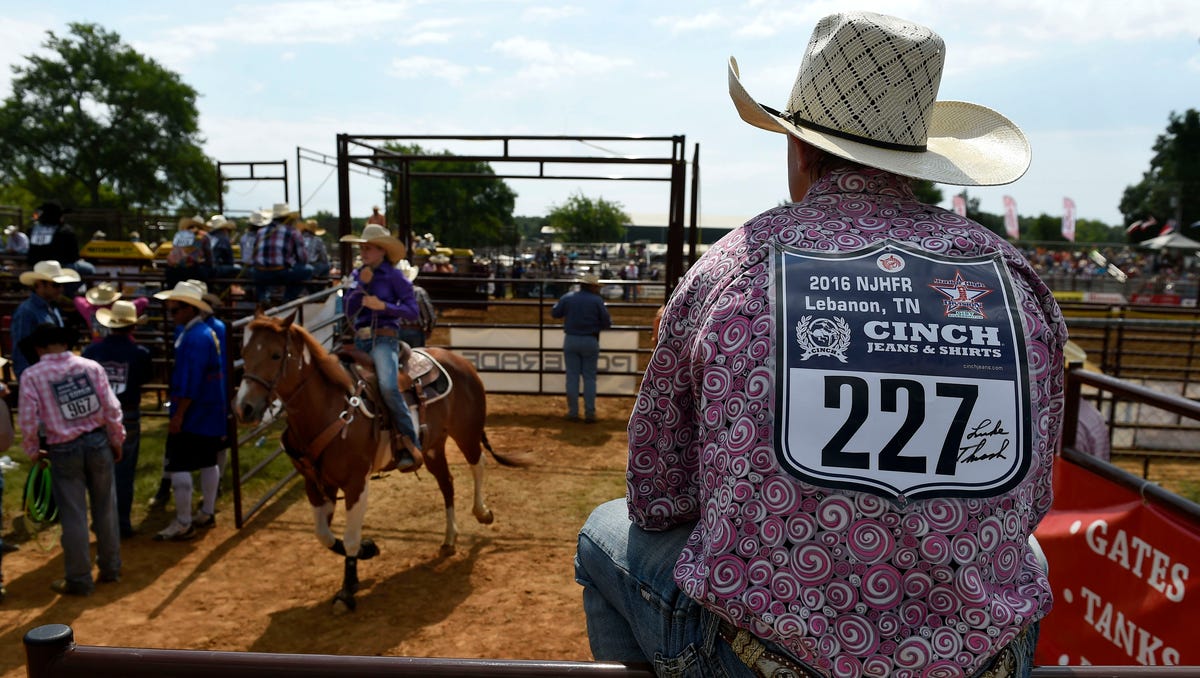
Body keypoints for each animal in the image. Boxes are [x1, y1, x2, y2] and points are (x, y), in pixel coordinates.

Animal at [231, 312, 518, 614]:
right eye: (243, 353)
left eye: (276, 354)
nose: (244, 408)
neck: (329, 407)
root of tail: (460, 361)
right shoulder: (316, 484)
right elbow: (324, 535)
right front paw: (367, 551)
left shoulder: (356, 483)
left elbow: (349, 537)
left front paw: (347, 591)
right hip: (432, 447)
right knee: (447, 483)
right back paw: (450, 537)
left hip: (466, 432)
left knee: (478, 463)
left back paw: (482, 512)